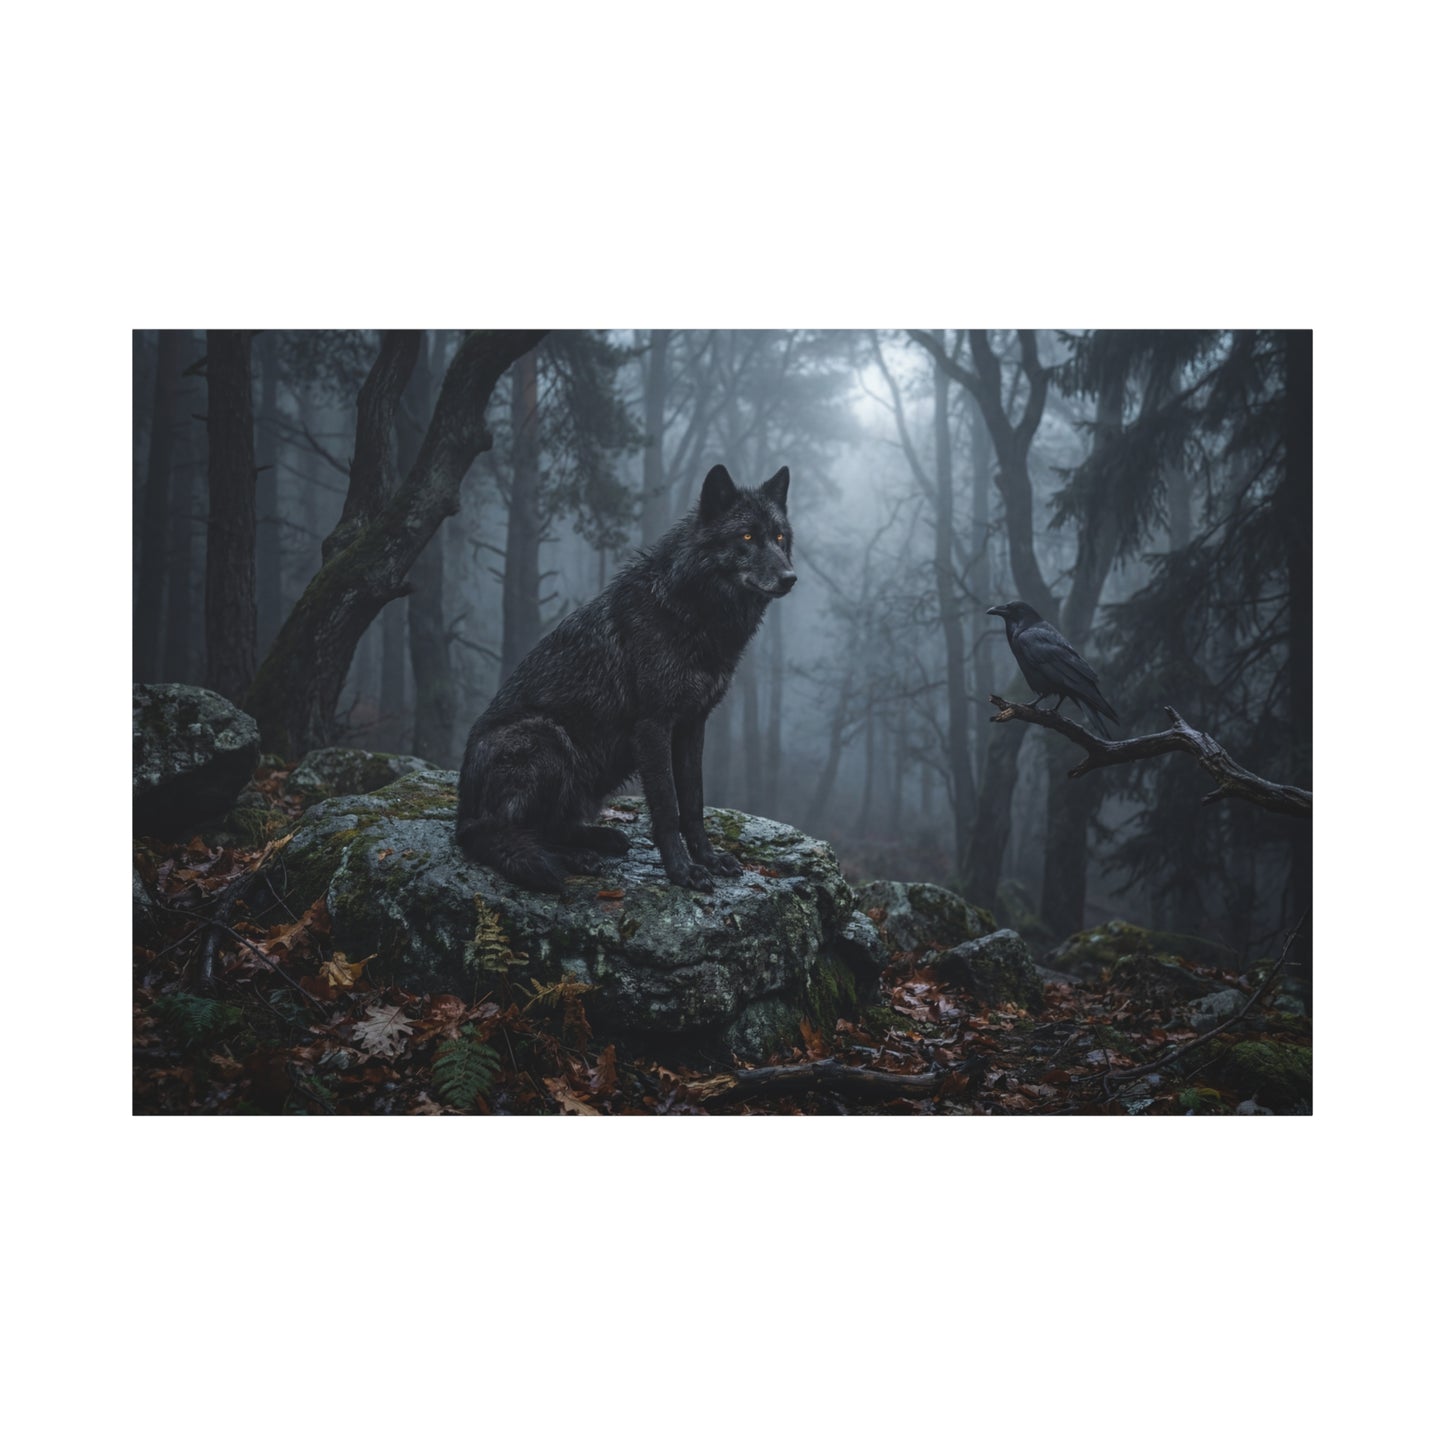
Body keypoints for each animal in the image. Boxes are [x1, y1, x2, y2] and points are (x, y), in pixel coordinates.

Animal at [456, 463, 796, 893]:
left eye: (780, 537)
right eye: (747, 536)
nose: (790, 577)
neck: (690, 610)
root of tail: (461, 817)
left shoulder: (692, 724)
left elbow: (693, 802)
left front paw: (708, 857)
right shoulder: (653, 726)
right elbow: (667, 807)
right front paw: (681, 870)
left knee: (550, 827)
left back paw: (599, 839)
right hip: (545, 737)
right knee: (514, 832)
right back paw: (575, 857)